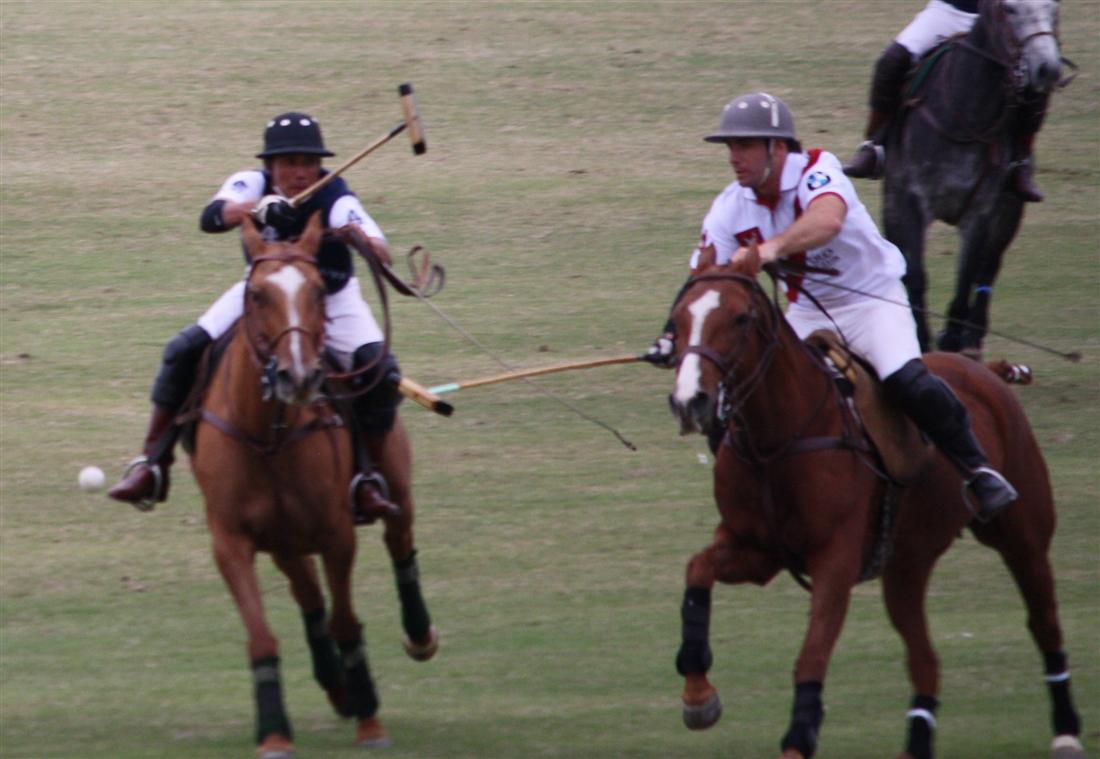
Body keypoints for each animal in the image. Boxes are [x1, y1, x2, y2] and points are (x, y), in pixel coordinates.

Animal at [189, 213, 437, 757]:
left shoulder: (335, 533)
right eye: (258, 293)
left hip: (396, 486)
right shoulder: (230, 541)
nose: (298, 376)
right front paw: (273, 732)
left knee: (401, 544)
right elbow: (263, 635)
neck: (269, 436)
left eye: (320, 290)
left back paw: (418, 636)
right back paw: (334, 684)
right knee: (308, 596)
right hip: (284, 541)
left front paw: (370, 719)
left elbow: (347, 621)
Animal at [664, 256, 1084, 759]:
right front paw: (697, 697)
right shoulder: (755, 550)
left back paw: (1066, 730)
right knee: (925, 659)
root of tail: (985, 370)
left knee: (1044, 623)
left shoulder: (835, 561)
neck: (776, 440)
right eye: (678, 320)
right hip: (907, 564)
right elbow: (696, 571)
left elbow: (811, 655)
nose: (690, 402)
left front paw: (798, 737)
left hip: (1024, 536)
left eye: (740, 318)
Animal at [883, 0, 1064, 356]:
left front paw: (952, 336)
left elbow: (967, 274)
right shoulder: (908, 200)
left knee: (989, 267)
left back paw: (973, 336)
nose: (1047, 69)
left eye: (1053, 8)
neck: (964, 116)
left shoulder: (982, 210)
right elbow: (914, 272)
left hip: (1010, 209)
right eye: (1009, 9)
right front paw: (920, 337)